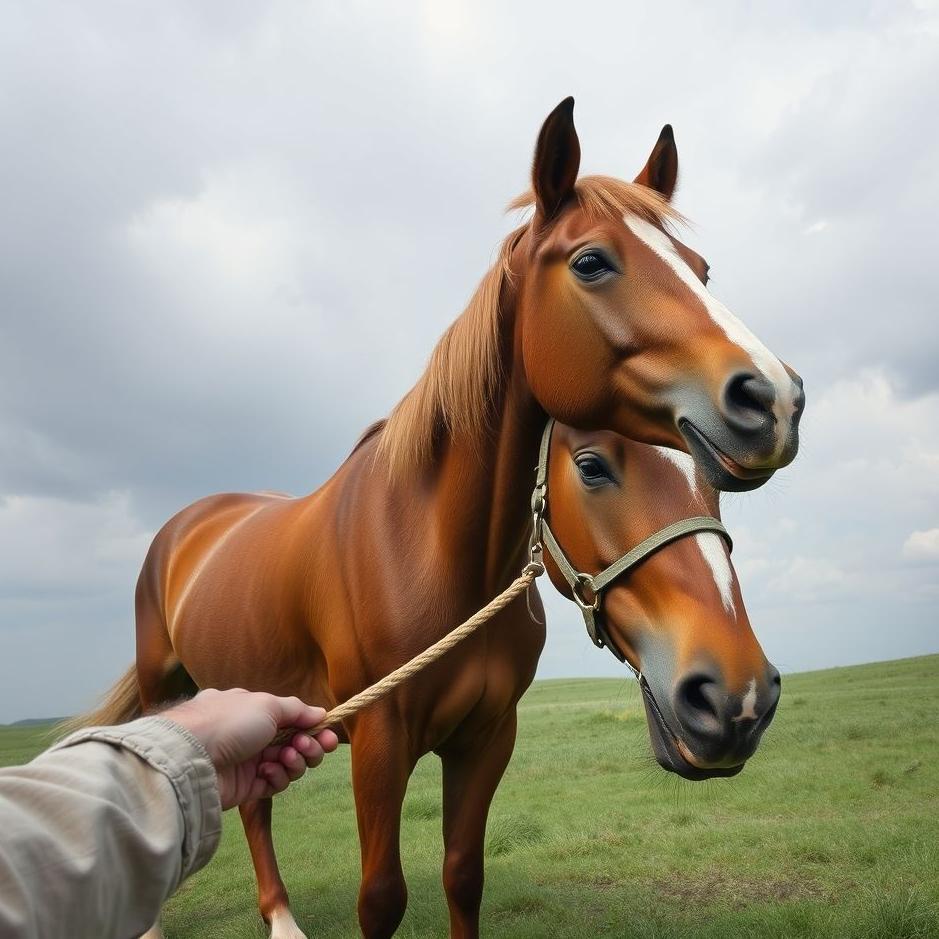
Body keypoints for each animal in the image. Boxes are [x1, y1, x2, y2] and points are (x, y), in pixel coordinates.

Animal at [73, 98, 803, 938]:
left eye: (700, 268)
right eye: (591, 262)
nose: (773, 398)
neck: (432, 556)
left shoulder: (486, 737)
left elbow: (462, 873)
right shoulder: (378, 742)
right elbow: (381, 896)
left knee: (253, 802)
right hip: (169, 688)